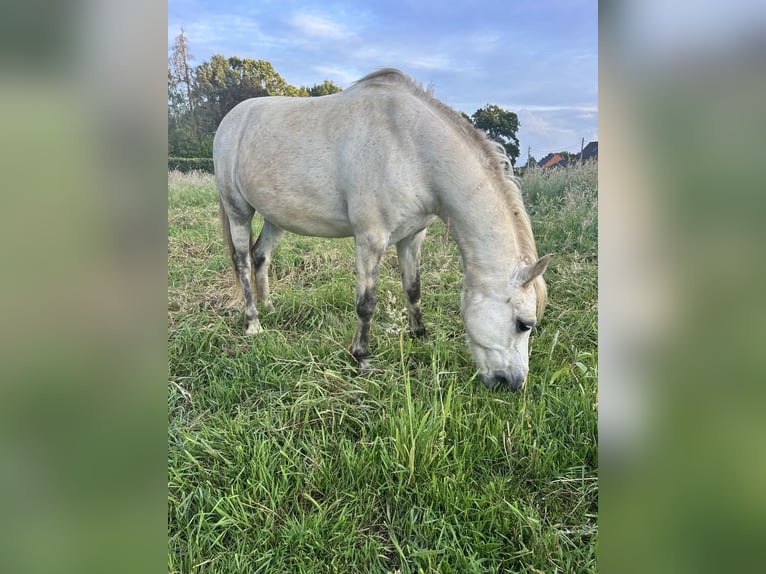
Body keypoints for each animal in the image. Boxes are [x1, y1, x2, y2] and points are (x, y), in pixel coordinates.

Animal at [214, 69, 551, 391]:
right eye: (524, 324)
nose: (515, 384)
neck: (411, 147)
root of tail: (230, 119)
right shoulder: (370, 239)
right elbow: (366, 304)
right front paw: (361, 358)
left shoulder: (412, 237)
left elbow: (413, 290)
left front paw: (420, 336)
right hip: (238, 210)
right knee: (243, 262)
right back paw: (253, 323)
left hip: (276, 218)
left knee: (261, 256)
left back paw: (269, 308)